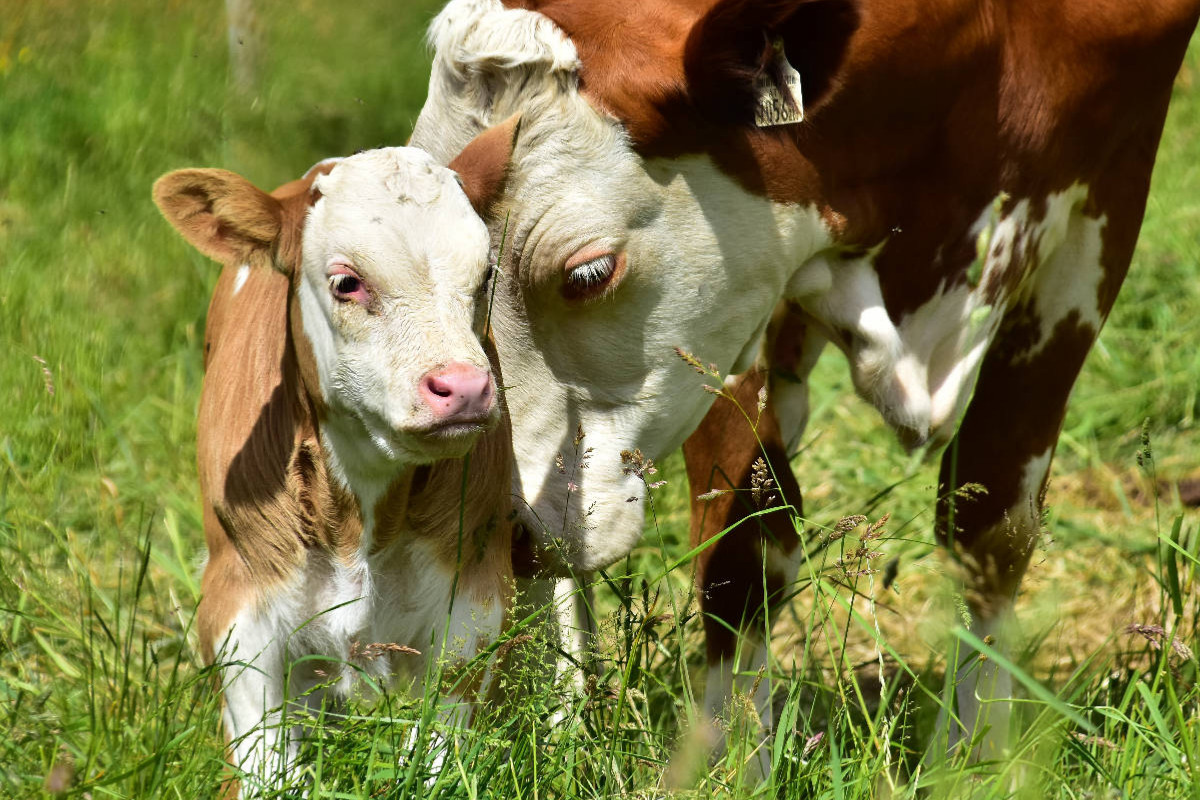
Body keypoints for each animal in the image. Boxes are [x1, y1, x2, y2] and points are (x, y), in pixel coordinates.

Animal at [153, 136, 516, 796]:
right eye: (348, 282)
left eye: (486, 277)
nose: (465, 388)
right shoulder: (237, 603)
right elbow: (266, 766)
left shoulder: (474, 600)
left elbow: (438, 757)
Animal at [410, 0, 1200, 767]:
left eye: (589, 273)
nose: (496, 522)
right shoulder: (743, 293)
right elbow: (745, 548)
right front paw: (733, 764)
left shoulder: (1108, 179)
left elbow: (994, 520)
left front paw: (973, 755)